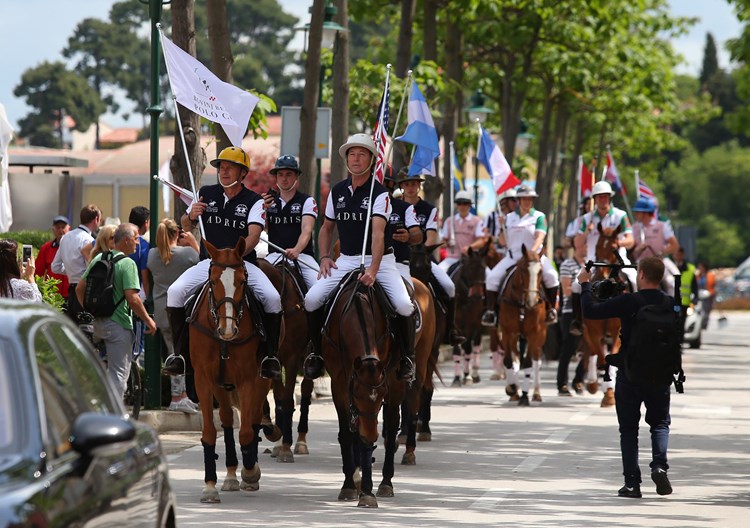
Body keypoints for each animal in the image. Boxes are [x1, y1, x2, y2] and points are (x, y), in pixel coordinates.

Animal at [189, 239, 274, 504]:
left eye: (243, 281)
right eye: (213, 281)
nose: (228, 330)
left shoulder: (248, 379)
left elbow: (246, 432)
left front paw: (250, 472)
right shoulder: (203, 379)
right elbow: (209, 432)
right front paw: (209, 486)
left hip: (261, 380)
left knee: (253, 418)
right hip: (221, 385)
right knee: (227, 419)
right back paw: (229, 475)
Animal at [260, 258, 316, 462]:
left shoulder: (291, 359)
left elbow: (288, 399)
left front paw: (285, 447)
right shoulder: (274, 359)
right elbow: (278, 398)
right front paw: (276, 437)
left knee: (306, 391)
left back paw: (300, 442)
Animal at [502, 243, 548, 404]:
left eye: (541, 272)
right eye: (523, 270)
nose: (532, 301)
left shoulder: (534, 332)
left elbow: (528, 363)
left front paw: (524, 396)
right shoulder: (507, 331)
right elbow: (508, 360)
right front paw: (511, 388)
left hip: (541, 334)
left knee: (536, 359)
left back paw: (536, 393)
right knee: (515, 357)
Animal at [580, 225, 636, 406]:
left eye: (614, 247)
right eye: (597, 246)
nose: (603, 275)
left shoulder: (617, 331)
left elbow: (610, 359)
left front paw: (610, 393)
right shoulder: (593, 330)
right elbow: (600, 357)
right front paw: (598, 385)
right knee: (591, 351)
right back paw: (592, 382)